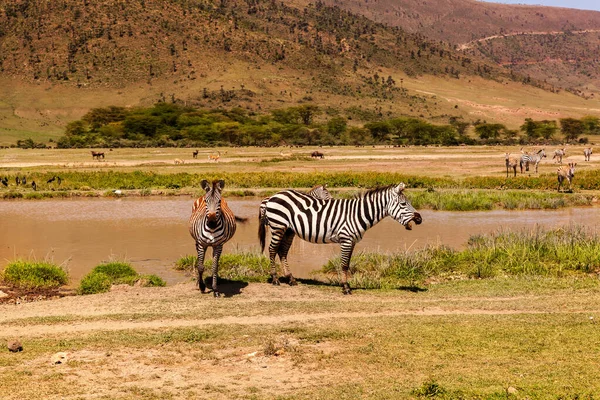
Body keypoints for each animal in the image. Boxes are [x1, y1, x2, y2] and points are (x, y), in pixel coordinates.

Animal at [258, 184, 422, 294]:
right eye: (403, 204)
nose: (419, 219)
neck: (358, 214)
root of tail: (273, 196)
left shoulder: (352, 241)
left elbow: (347, 264)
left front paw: (346, 285)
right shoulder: (346, 239)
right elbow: (343, 265)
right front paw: (346, 288)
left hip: (289, 230)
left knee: (282, 252)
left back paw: (291, 279)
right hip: (278, 226)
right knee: (272, 250)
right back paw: (275, 279)